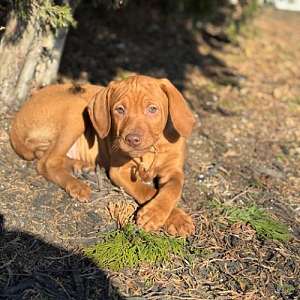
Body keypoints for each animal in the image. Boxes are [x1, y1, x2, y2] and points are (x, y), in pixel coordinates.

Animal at [9, 75, 196, 237]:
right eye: (119, 110)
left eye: (152, 109)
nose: (132, 139)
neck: (152, 150)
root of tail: (16, 121)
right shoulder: (120, 171)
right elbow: (146, 190)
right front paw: (161, 215)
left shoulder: (174, 171)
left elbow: (173, 188)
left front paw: (169, 216)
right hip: (76, 110)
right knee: (47, 162)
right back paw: (77, 186)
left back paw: (81, 166)